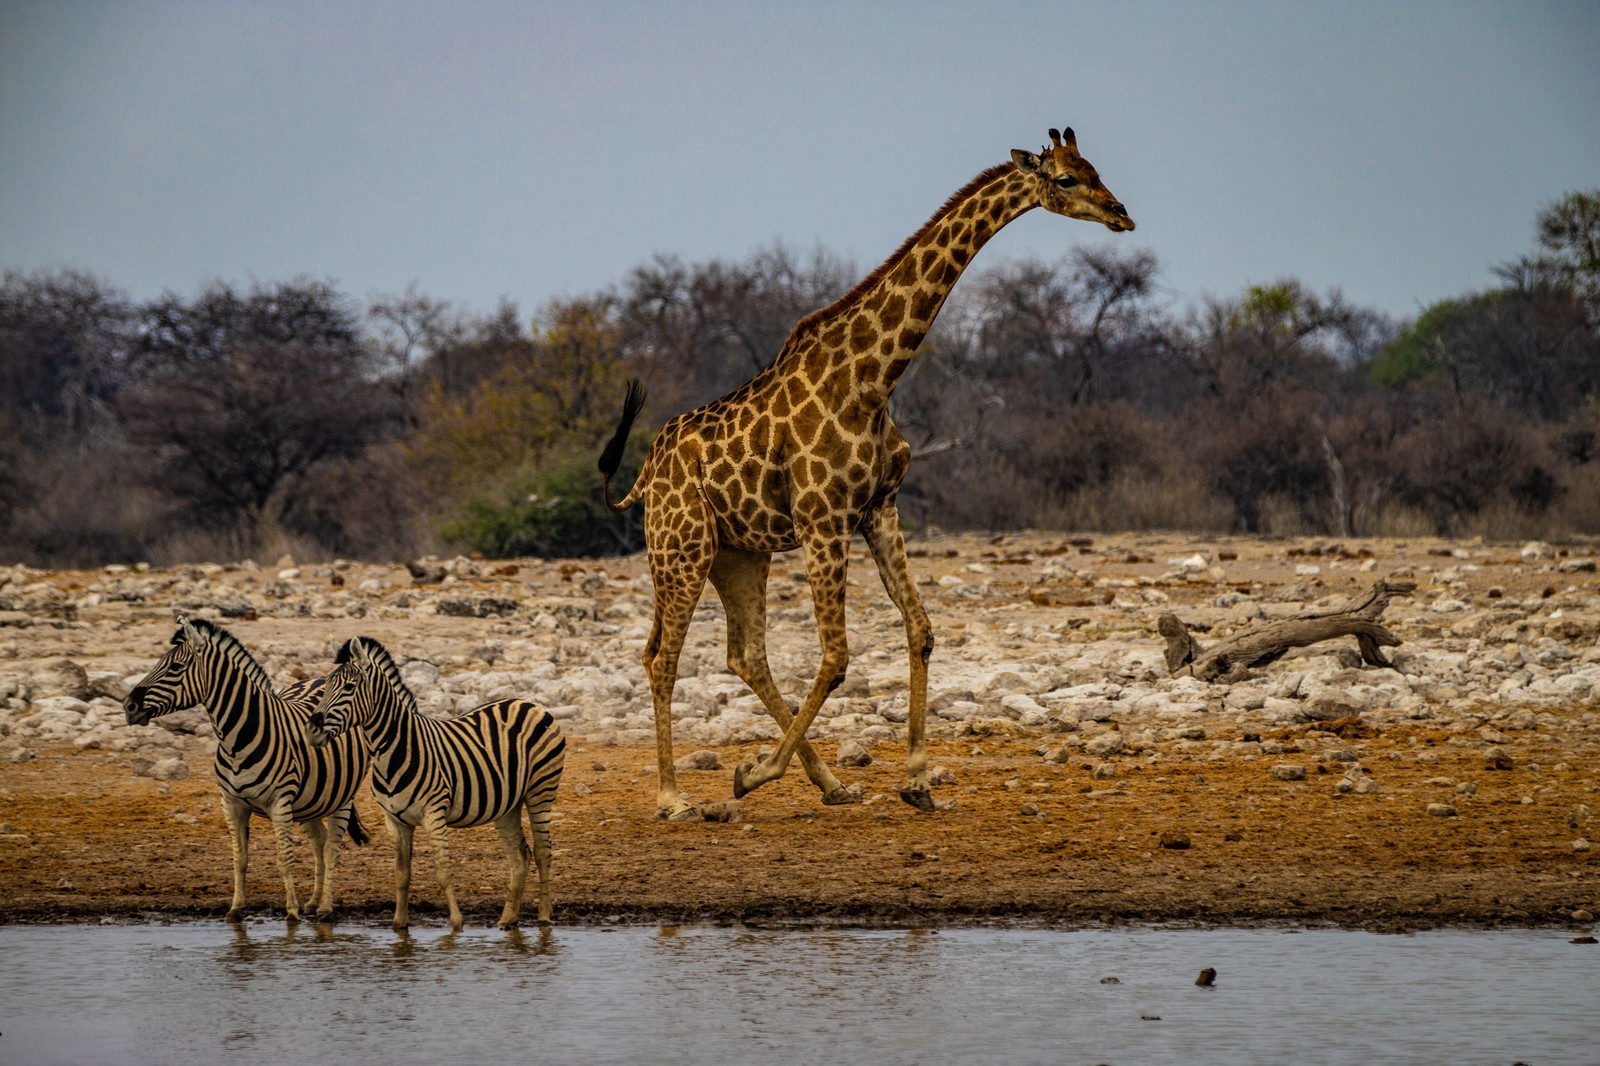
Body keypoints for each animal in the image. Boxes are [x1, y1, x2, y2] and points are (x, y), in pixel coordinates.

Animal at [123, 614, 369, 921]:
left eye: (175, 667)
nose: (129, 706)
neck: (236, 739)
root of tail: (319, 678)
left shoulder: (280, 801)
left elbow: (285, 858)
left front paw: (291, 913)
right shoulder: (231, 802)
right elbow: (239, 857)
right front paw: (236, 908)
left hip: (341, 797)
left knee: (332, 847)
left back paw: (324, 907)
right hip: (311, 798)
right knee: (319, 841)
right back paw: (313, 902)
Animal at [307, 633, 569, 928]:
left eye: (349, 687)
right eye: (326, 686)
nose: (312, 730)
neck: (396, 750)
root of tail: (529, 703)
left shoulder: (434, 814)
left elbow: (443, 872)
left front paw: (456, 923)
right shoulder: (395, 821)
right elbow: (401, 874)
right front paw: (400, 924)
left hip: (541, 790)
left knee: (542, 851)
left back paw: (544, 916)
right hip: (508, 804)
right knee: (520, 856)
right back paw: (507, 919)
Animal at [601, 128, 1139, 816]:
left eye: (1095, 168)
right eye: (1067, 179)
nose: (1121, 215)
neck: (872, 381)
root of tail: (646, 474)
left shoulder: (877, 509)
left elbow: (921, 629)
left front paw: (916, 779)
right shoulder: (822, 518)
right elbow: (837, 657)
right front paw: (757, 771)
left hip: (739, 553)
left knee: (745, 655)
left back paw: (829, 783)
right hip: (681, 547)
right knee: (661, 656)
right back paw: (674, 797)